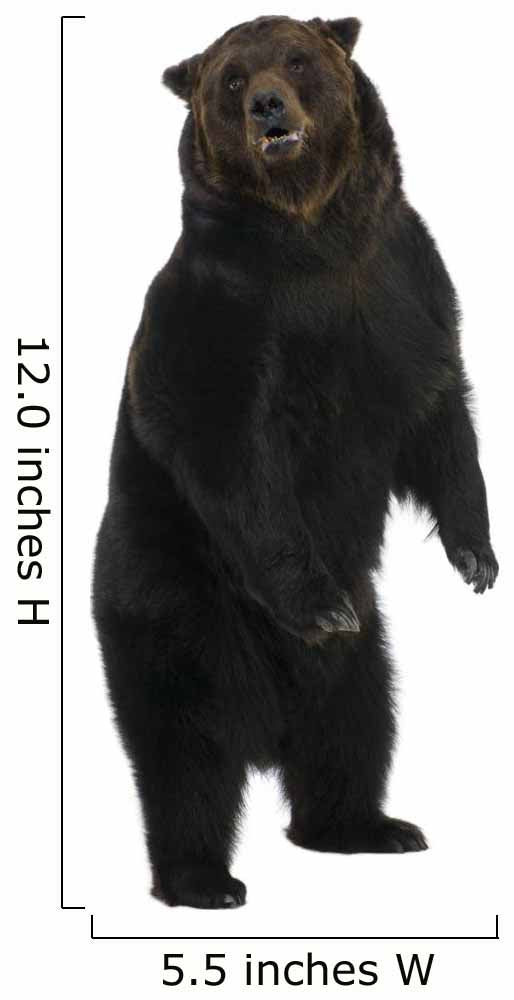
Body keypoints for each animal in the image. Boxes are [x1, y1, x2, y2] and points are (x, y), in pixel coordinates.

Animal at [93, 14, 498, 909]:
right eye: (232, 81)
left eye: (298, 59)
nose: (269, 107)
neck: (311, 233)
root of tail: (266, 722)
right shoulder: (221, 316)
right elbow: (226, 450)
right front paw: (316, 603)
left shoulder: (400, 284)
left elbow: (441, 414)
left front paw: (477, 558)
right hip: (172, 603)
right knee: (185, 754)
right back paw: (203, 879)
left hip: (362, 661)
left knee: (355, 727)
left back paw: (370, 827)